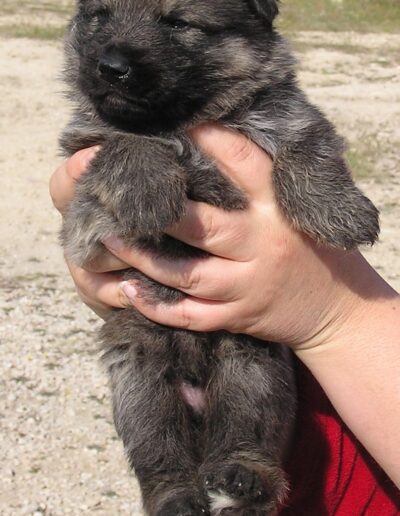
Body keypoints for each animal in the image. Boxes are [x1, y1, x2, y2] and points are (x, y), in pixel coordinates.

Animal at [61, 2, 380, 512]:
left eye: (176, 23)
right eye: (100, 16)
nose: (111, 66)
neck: (181, 121)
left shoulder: (286, 114)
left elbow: (308, 141)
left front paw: (338, 209)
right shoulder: (83, 215)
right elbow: (123, 141)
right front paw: (147, 189)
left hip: (251, 367)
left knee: (244, 432)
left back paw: (244, 476)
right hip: (140, 383)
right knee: (160, 456)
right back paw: (177, 497)